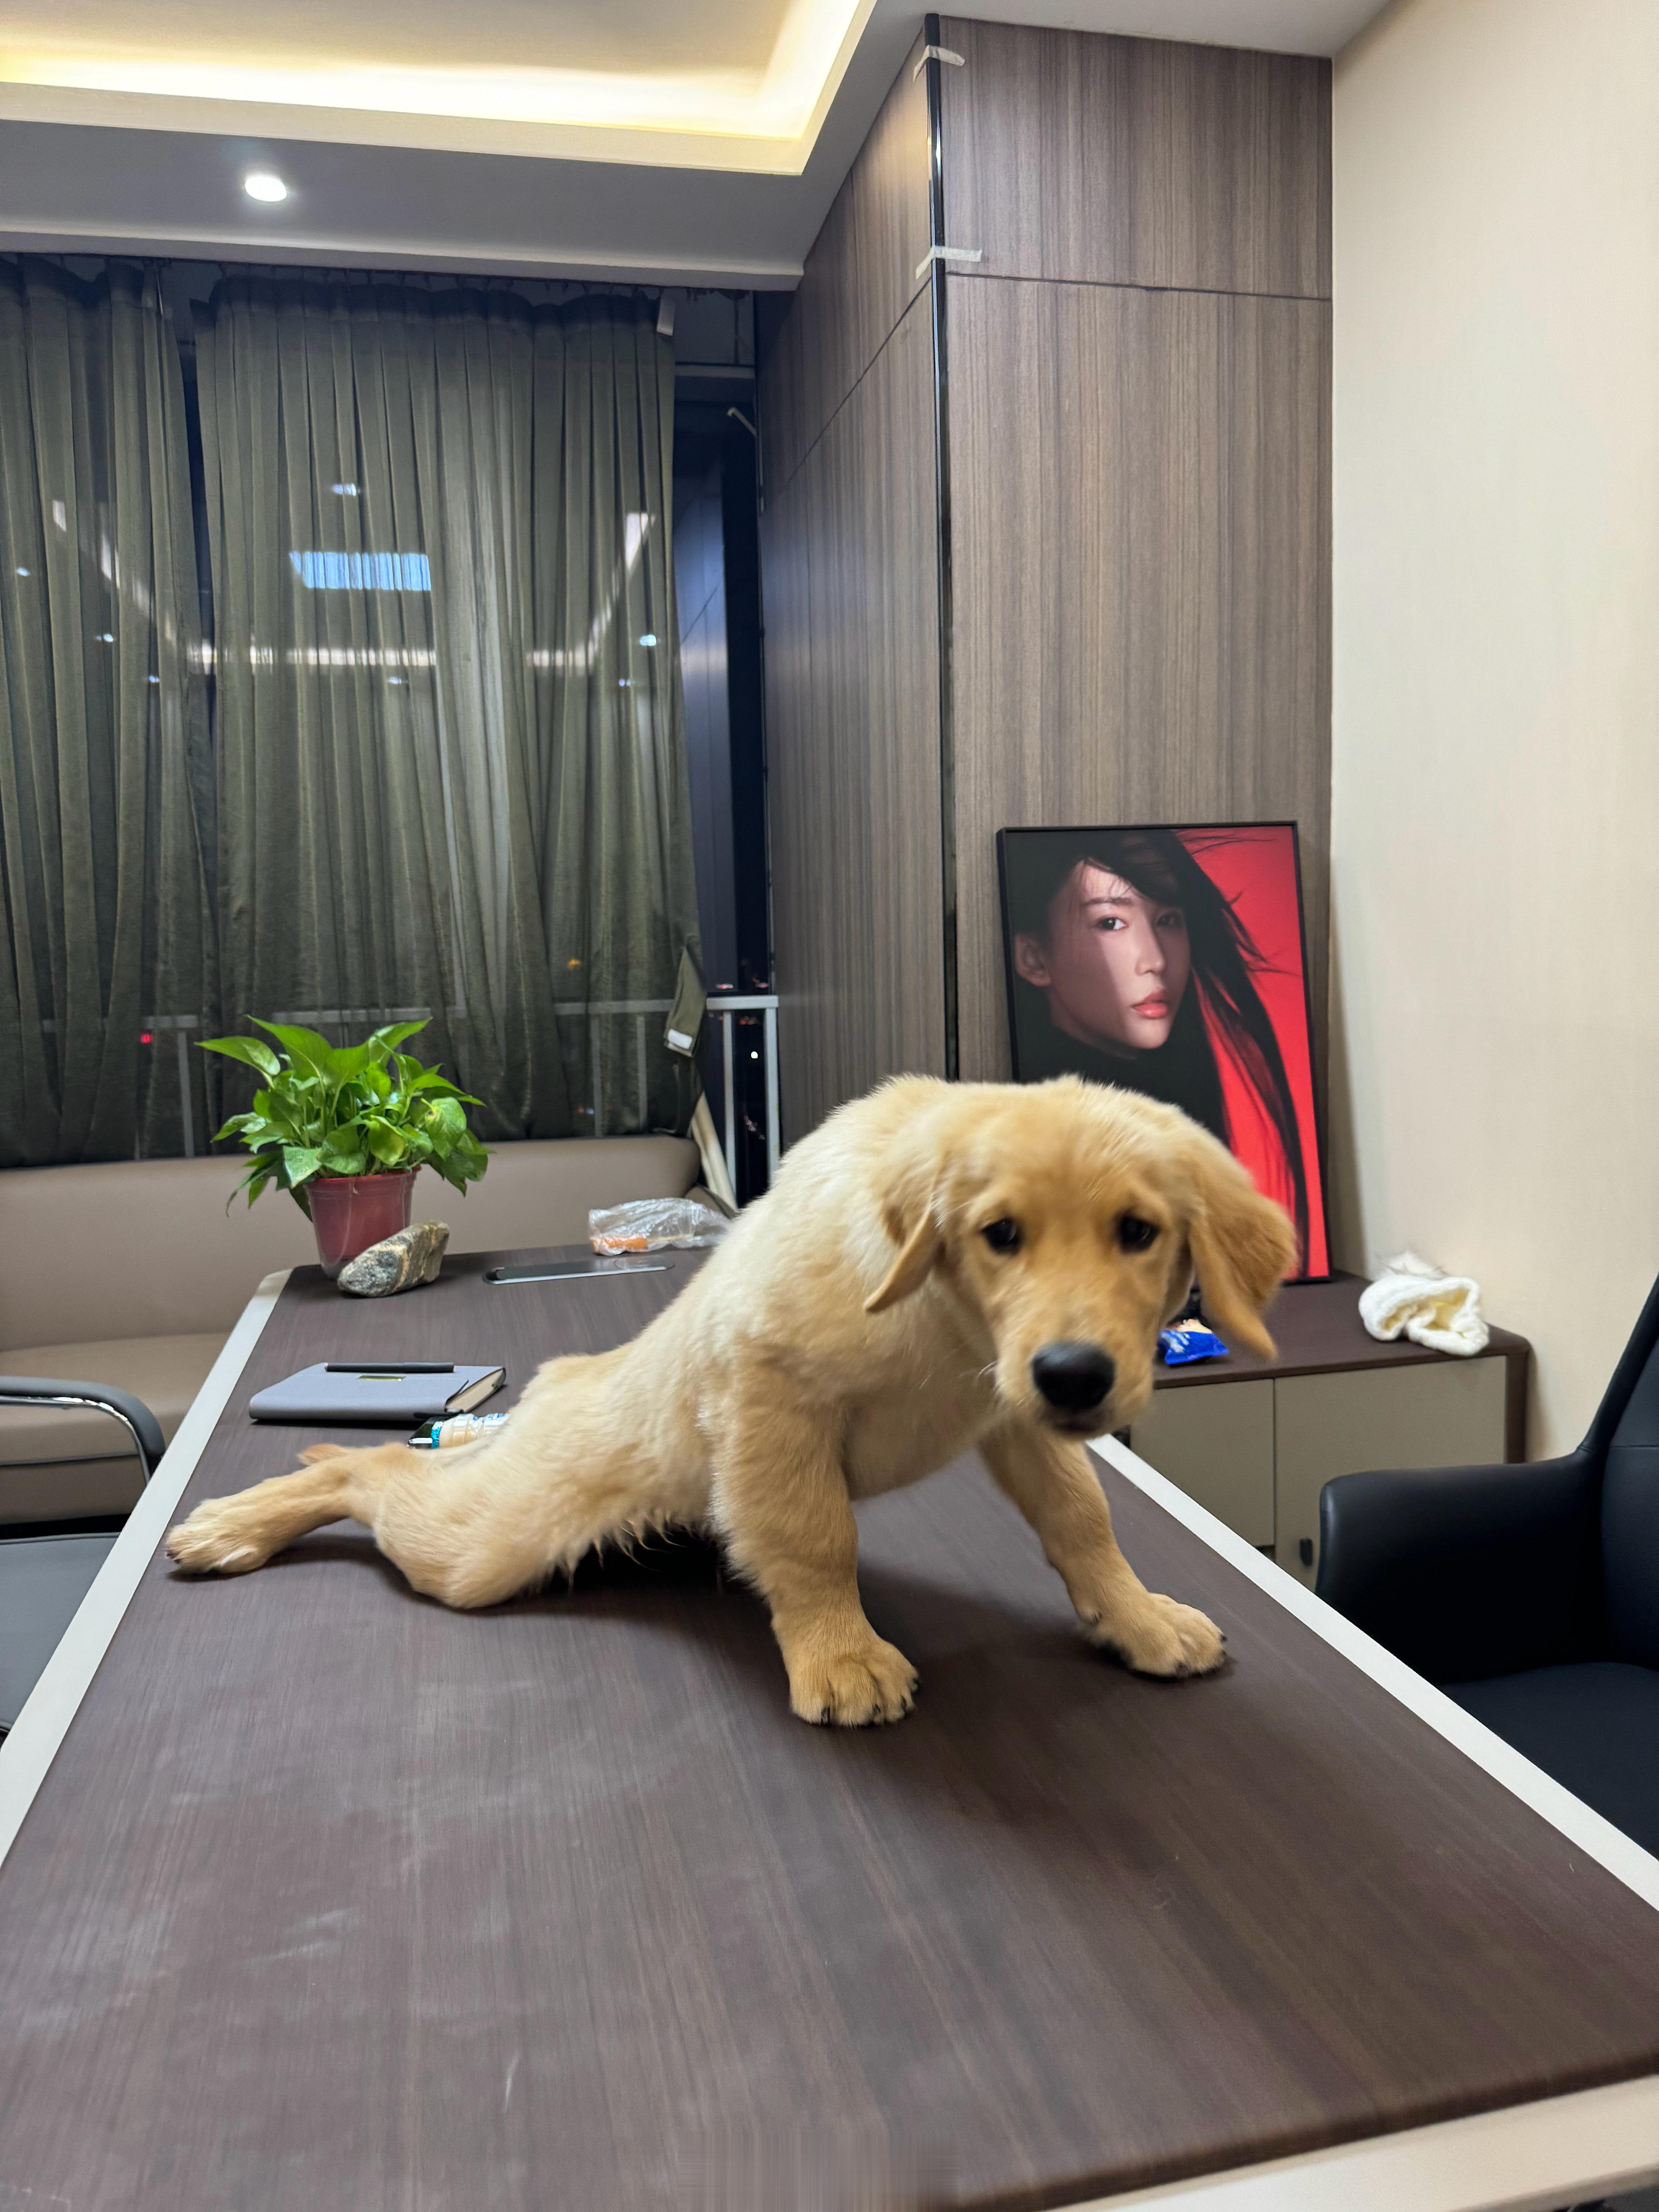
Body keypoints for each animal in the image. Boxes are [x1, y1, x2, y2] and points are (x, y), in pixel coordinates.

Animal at [168, 1075, 1296, 1725]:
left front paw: (1134, 1617)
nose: (1076, 1374)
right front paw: (841, 1654)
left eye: (1138, 1233)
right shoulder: (768, 1398)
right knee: (376, 1469)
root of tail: (559, 1384)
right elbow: (813, 1538)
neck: (943, 1320)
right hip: (483, 1546)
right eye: (1000, 1234)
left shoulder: (1018, 1413)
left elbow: (1080, 1514)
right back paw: (233, 1524)